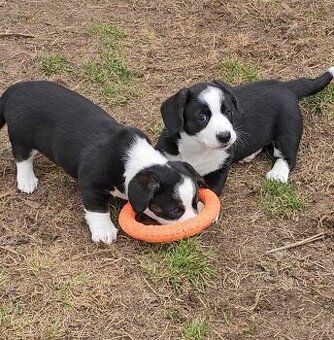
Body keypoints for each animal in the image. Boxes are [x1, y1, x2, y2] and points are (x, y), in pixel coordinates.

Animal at [0, 81, 205, 243]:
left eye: (194, 202)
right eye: (175, 210)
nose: (196, 228)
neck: (132, 160)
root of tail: (16, 88)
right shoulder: (91, 184)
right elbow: (97, 209)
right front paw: (104, 231)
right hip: (21, 138)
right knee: (22, 158)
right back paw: (27, 180)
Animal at [157, 66, 334, 195]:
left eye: (228, 112)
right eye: (202, 118)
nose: (225, 137)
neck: (198, 148)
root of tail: (286, 86)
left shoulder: (219, 171)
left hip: (288, 128)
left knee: (286, 155)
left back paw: (277, 174)